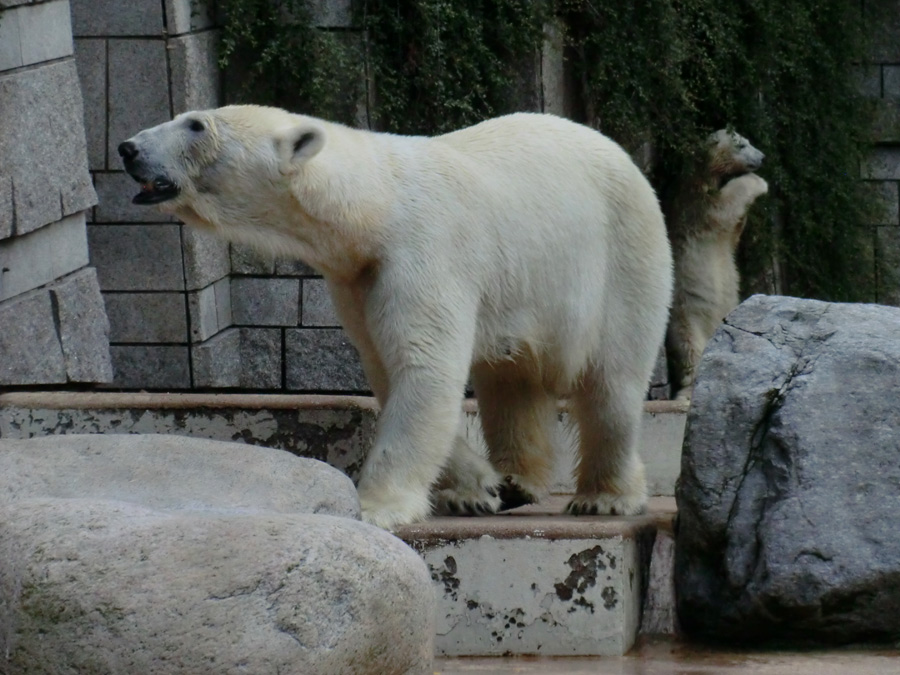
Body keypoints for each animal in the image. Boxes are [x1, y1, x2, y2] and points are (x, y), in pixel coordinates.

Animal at [119, 105, 672, 532]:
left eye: (195, 124)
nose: (128, 148)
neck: (376, 204)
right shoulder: (356, 281)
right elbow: (390, 370)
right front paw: (479, 488)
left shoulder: (422, 253)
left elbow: (423, 369)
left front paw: (375, 507)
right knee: (511, 381)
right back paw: (518, 479)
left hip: (622, 256)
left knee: (612, 384)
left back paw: (605, 497)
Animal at [668, 129, 768, 398]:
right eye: (741, 145)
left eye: (749, 141)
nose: (762, 157)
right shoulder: (698, 204)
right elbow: (724, 206)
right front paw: (758, 183)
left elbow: (734, 232)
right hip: (685, 315)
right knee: (690, 347)